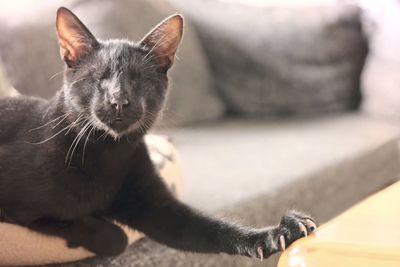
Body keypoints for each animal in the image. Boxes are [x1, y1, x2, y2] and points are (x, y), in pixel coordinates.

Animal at [0, 7, 318, 260]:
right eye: (98, 78)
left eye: (138, 80)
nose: (118, 99)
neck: (108, 153)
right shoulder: (21, 208)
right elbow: (113, 236)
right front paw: (89, 233)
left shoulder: (156, 208)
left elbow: (213, 229)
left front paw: (278, 232)